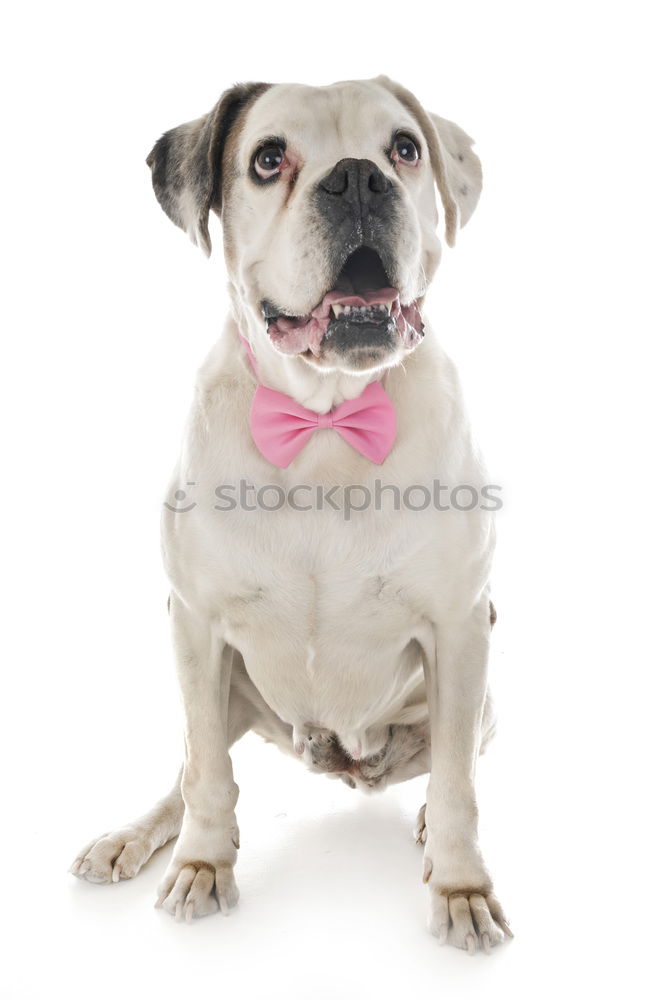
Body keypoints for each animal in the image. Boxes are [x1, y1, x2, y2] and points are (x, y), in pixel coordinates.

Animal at [70, 78, 512, 952]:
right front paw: (202, 866)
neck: (325, 424)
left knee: (452, 767)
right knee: (187, 766)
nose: (358, 180)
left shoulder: (459, 628)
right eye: (268, 159)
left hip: (479, 701)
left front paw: (460, 887)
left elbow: (457, 787)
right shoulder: (195, 625)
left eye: (404, 148)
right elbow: (207, 774)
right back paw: (132, 837)